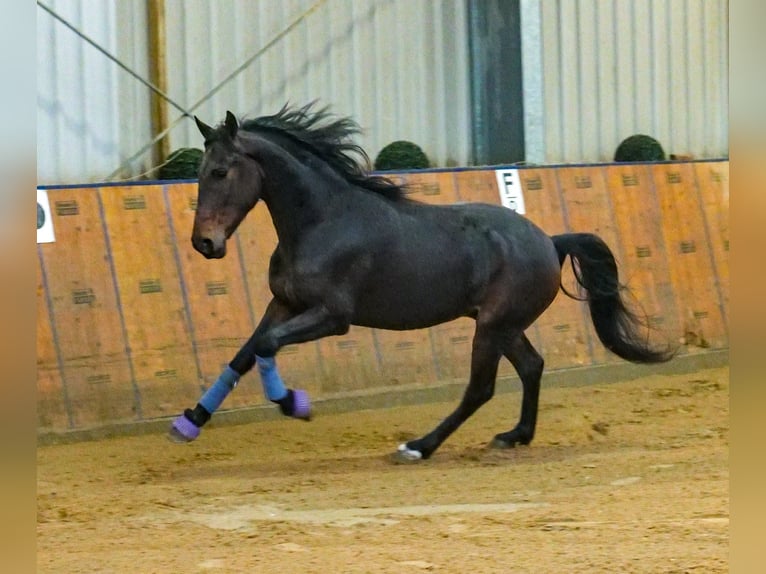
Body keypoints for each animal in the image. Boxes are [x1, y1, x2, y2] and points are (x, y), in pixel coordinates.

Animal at [168, 102, 672, 464]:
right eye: (199, 171)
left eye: (219, 171)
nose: (204, 243)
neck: (323, 221)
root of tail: (550, 241)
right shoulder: (284, 303)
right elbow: (246, 352)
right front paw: (190, 421)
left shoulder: (332, 316)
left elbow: (267, 346)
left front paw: (293, 403)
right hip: (504, 326)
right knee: (532, 366)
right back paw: (514, 436)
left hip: (492, 327)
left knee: (481, 389)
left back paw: (419, 446)